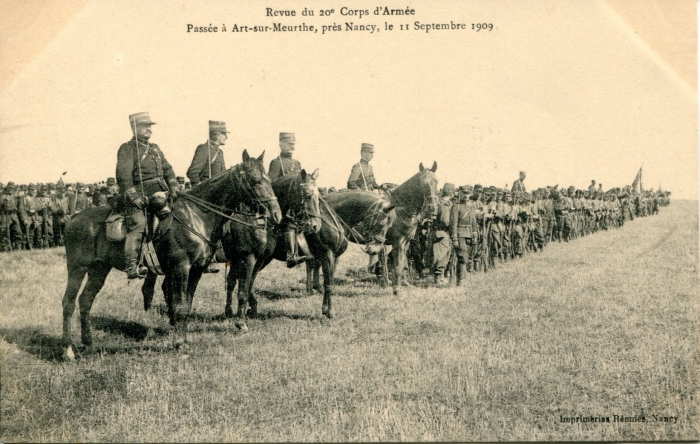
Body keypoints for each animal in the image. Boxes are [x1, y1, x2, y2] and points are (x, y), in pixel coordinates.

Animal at [60, 151, 278, 360]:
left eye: (269, 179)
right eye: (256, 180)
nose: (275, 214)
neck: (196, 216)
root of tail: (74, 218)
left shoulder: (197, 269)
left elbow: (188, 305)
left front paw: (185, 340)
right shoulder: (187, 267)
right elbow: (186, 303)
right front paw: (180, 344)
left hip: (99, 269)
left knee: (86, 300)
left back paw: (88, 344)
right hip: (77, 268)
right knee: (68, 302)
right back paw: (68, 350)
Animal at [221, 169, 322, 330]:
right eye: (307, 194)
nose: (316, 226)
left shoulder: (259, 258)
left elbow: (247, 282)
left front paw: (249, 309)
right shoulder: (249, 257)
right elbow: (246, 283)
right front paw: (243, 316)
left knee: (232, 279)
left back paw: (230, 310)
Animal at [382, 162, 438, 294]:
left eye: (436, 181)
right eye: (423, 183)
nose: (432, 207)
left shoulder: (406, 241)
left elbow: (403, 264)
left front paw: (403, 284)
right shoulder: (398, 241)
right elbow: (397, 265)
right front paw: (397, 289)